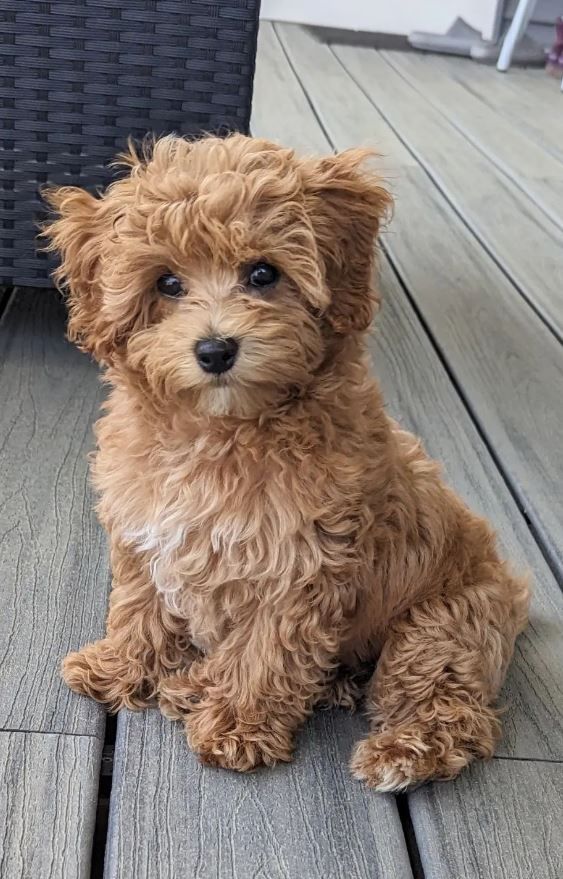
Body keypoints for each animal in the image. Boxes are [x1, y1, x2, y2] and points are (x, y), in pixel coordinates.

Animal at [44, 132, 528, 792]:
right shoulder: (145, 531)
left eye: (263, 273)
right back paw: (196, 684)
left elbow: (267, 652)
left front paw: (238, 727)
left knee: (449, 704)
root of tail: (513, 596)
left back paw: (401, 751)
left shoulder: (299, 563)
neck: (219, 432)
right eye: (167, 283)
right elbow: (139, 606)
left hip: (443, 626)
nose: (215, 349)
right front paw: (120, 667)